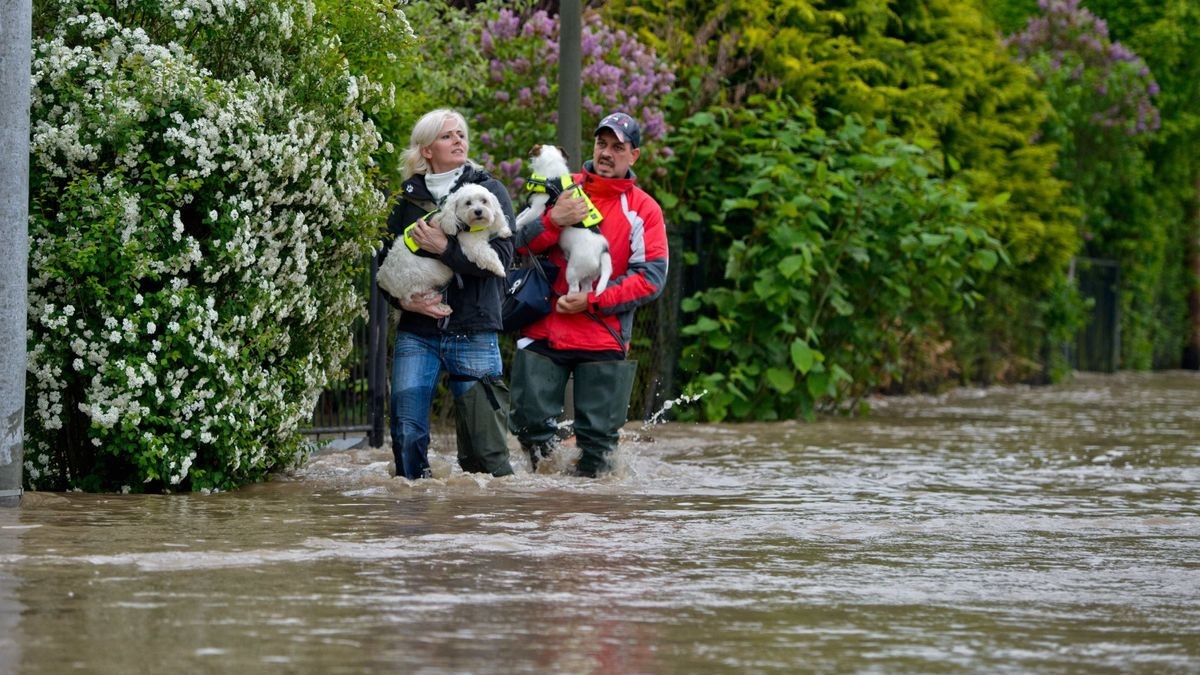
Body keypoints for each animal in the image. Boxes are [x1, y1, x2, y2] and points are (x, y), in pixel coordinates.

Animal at [374, 181, 506, 312]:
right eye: (468, 203)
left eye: (484, 201)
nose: (478, 211)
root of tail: (381, 278)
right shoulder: (472, 245)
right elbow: (487, 254)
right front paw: (500, 269)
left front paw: (505, 230)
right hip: (418, 283)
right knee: (422, 297)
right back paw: (441, 307)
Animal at [513, 142, 609, 293]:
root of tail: (603, 251)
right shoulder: (532, 207)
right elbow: (521, 215)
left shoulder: (537, 209)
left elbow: (524, 219)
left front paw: (515, 226)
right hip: (589, 276)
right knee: (586, 289)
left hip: (573, 270)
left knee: (574, 288)